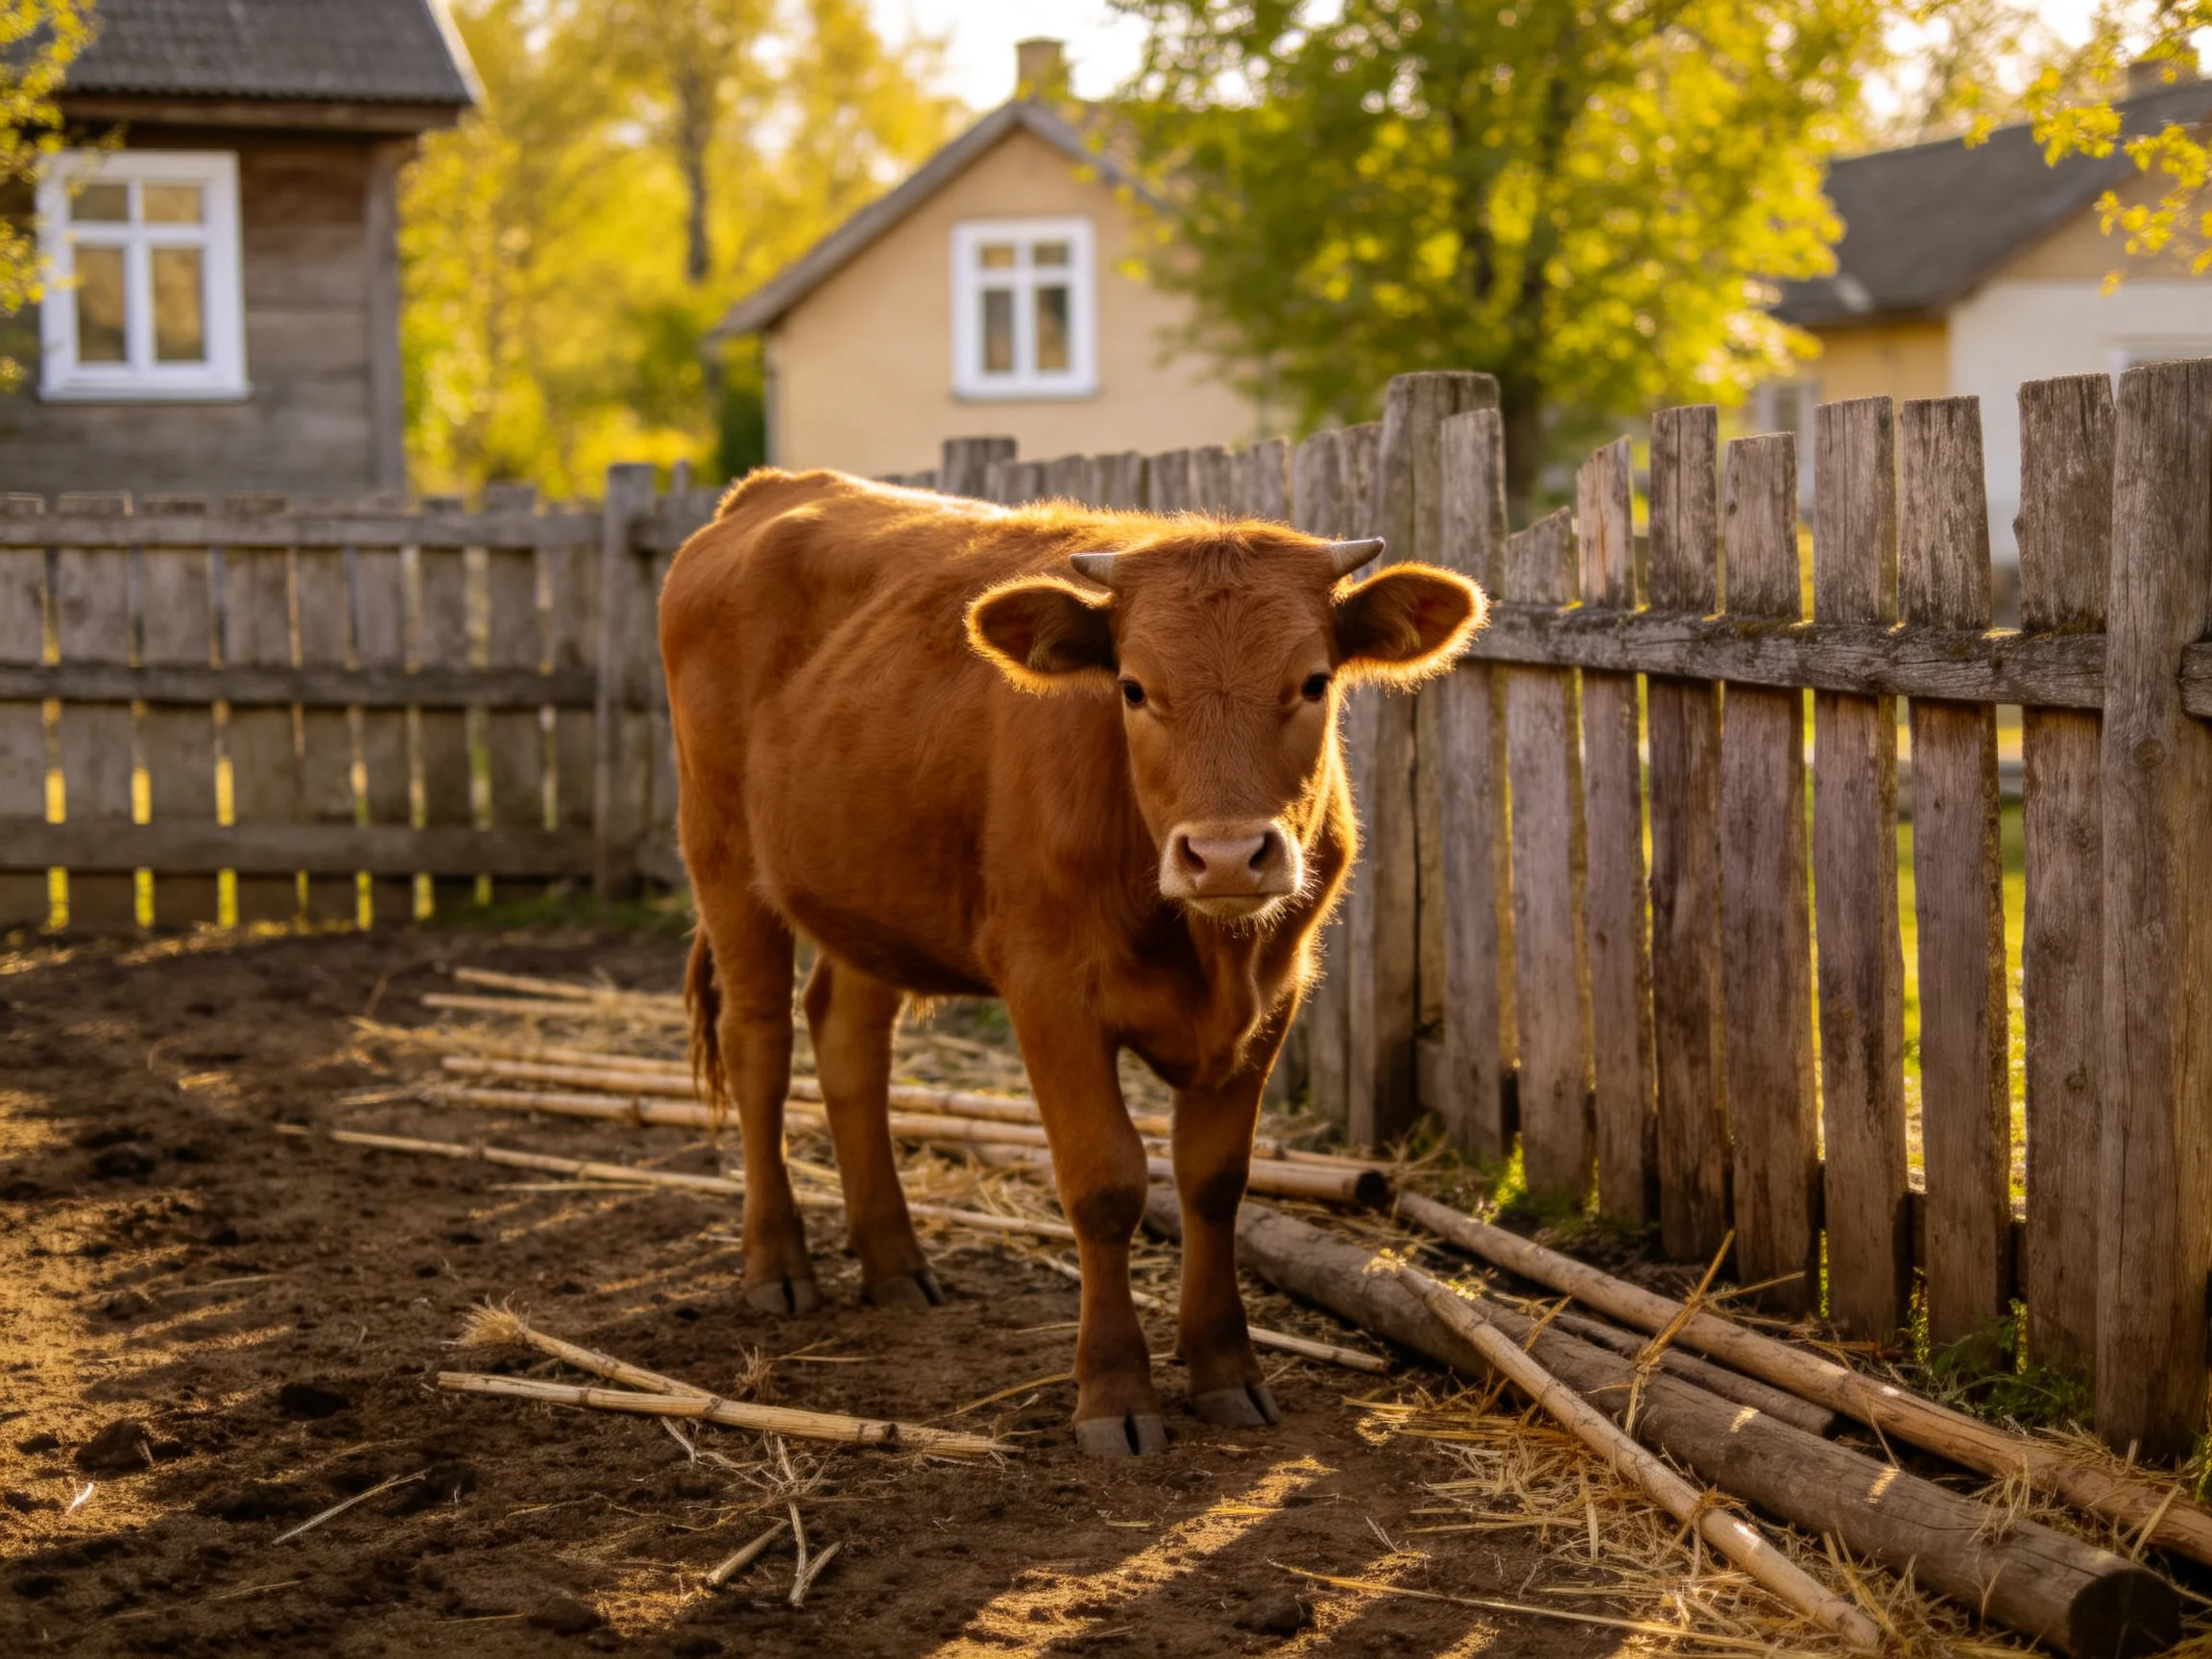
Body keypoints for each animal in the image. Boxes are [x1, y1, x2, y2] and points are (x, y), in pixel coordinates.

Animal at [661, 468, 1484, 1455]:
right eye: (1132, 688)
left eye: (1314, 682)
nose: (1226, 856)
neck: (1204, 946)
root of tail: (769, 490)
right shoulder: (1049, 992)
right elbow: (1104, 1184)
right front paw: (1115, 1393)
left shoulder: (1275, 993)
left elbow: (1216, 1184)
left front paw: (1226, 1371)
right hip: (724, 859)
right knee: (760, 1048)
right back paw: (778, 1266)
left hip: (871, 888)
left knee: (848, 1041)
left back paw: (895, 1264)